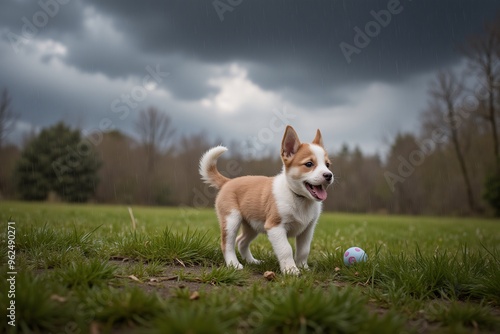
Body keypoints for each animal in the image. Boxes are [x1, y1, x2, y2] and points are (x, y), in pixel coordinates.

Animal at [198, 125, 332, 274]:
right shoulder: (275, 227)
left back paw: (252, 261)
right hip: (231, 220)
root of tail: (228, 182)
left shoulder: (307, 229)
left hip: (252, 226)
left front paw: (304, 267)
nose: (329, 175)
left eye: (327, 165)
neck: (299, 198)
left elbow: (304, 250)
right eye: (309, 164)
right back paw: (234, 264)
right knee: (227, 244)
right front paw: (291, 270)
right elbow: (286, 249)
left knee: (241, 242)